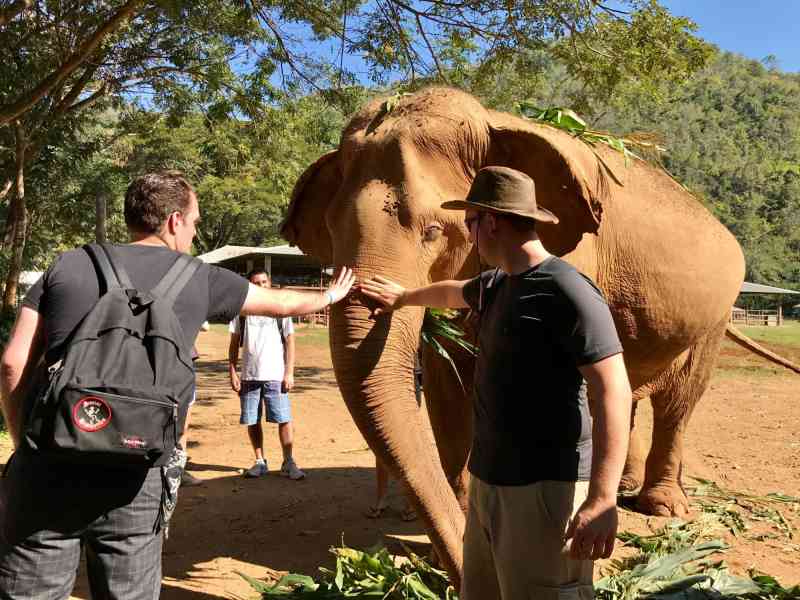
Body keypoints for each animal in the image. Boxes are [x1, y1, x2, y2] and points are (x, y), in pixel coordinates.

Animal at [280, 87, 800, 584]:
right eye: (330, 229)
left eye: (434, 231)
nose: (454, 577)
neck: (493, 119)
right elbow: (449, 389)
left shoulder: (577, 253)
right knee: (629, 389)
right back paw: (624, 488)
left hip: (714, 316)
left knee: (678, 400)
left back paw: (662, 506)